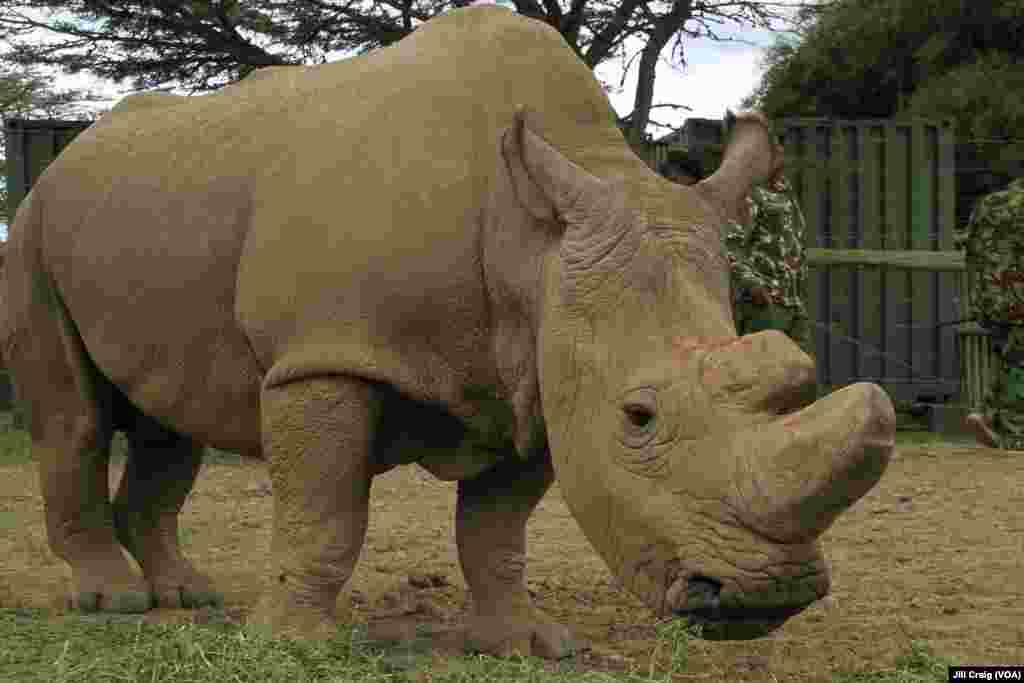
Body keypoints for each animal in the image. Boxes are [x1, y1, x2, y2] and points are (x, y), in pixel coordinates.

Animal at [2, 6, 894, 658]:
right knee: (74, 418)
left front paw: (525, 643)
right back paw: (114, 601)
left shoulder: (536, 373)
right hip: (34, 224)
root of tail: (64, 155)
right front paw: (294, 643)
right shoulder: (328, 350)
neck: (530, 247)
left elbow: (496, 530)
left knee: (170, 424)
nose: (765, 596)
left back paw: (187, 594)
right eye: (638, 417)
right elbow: (326, 509)